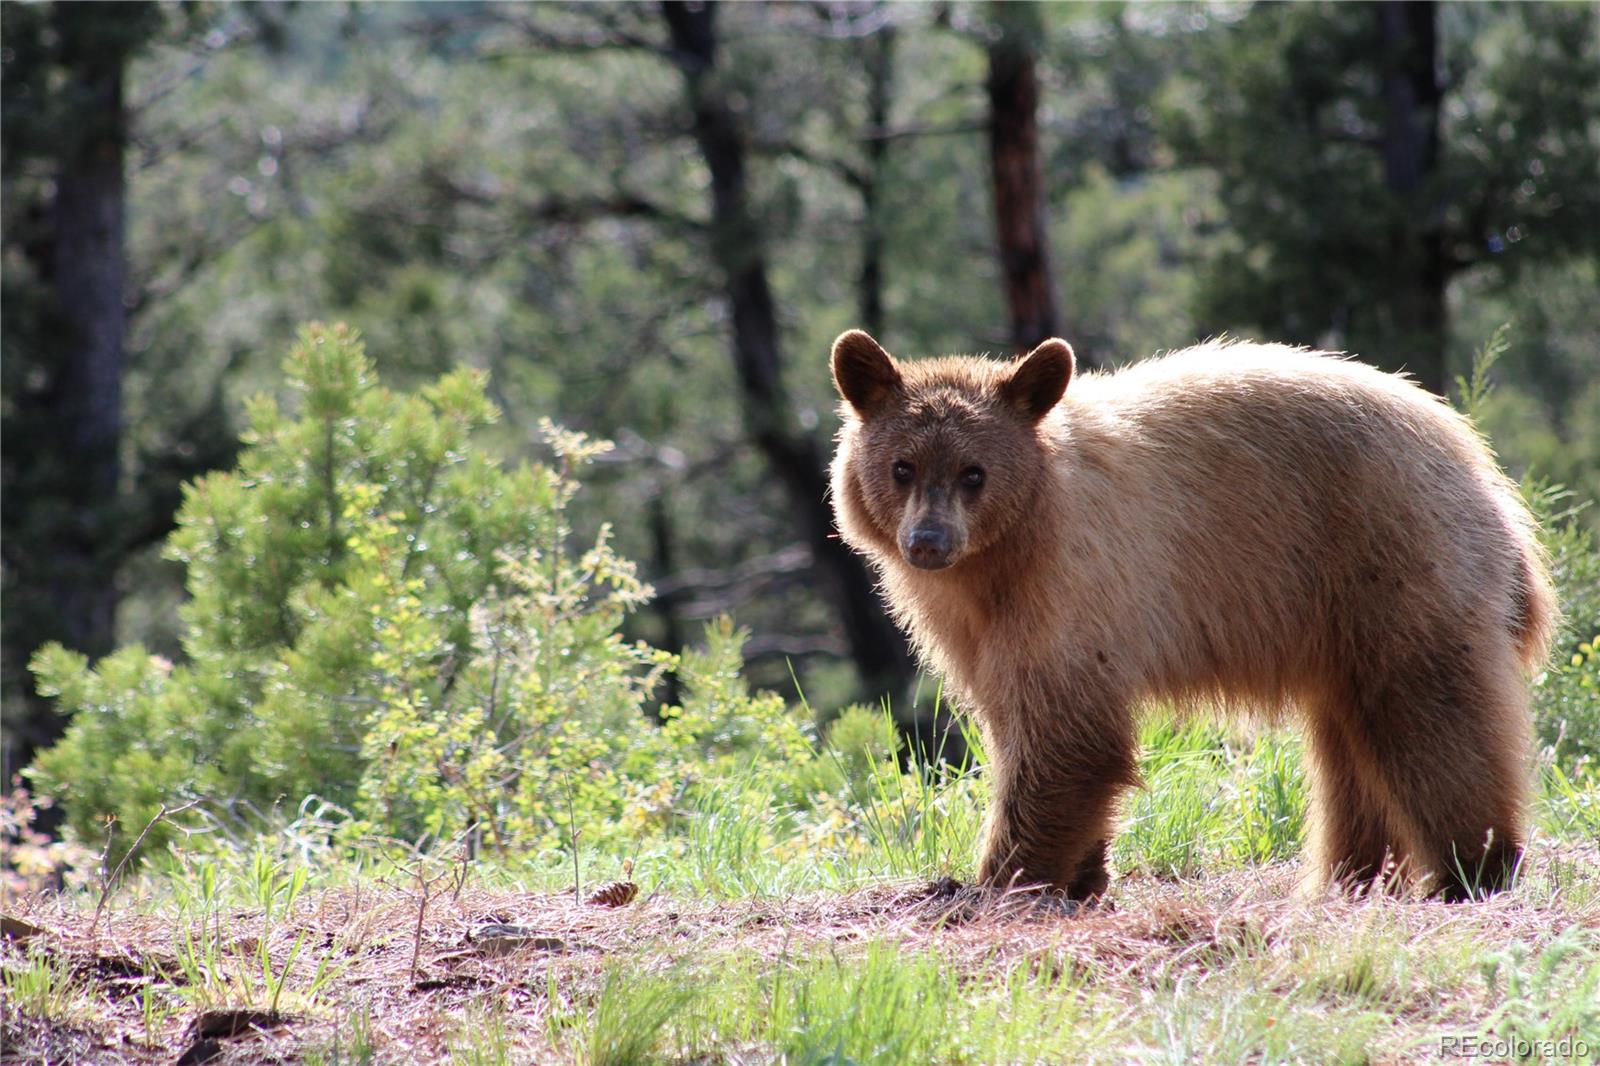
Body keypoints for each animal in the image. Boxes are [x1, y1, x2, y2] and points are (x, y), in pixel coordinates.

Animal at [832, 329, 1555, 896]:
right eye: (901, 466)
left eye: (974, 472)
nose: (928, 542)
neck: (1000, 559)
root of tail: (1489, 483)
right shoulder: (973, 625)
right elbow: (1016, 716)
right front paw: (1081, 873)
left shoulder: (1074, 584)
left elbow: (1064, 735)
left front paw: (1001, 877)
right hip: (1342, 619)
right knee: (1351, 749)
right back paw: (1343, 878)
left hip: (1395, 563)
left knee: (1432, 719)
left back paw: (1474, 867)